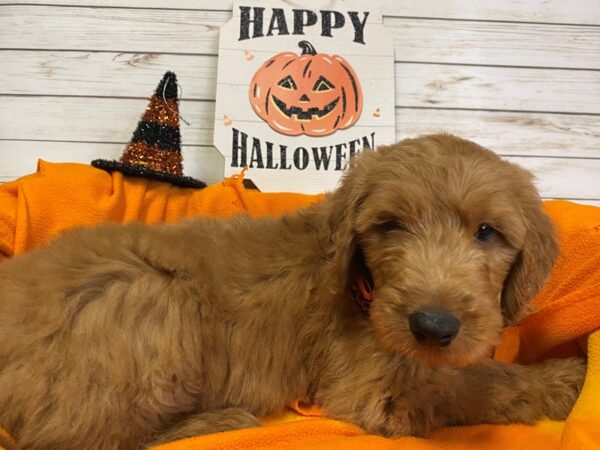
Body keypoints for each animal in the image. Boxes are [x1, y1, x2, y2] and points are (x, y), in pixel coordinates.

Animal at [0, 134, 584, 450]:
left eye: (487, 233)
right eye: (390, 226)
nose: (432, 327)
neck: (360, 288)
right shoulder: (372, 394)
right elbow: (477, 383)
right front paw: (564, 379)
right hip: (149, 293)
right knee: (78, 438)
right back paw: (221, 421)